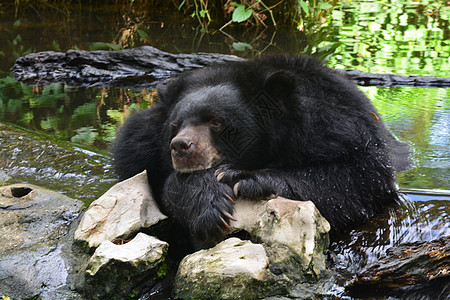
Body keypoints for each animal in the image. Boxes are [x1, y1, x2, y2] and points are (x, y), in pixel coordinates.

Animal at [110, 54, 410, 239]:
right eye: (176, 125)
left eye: (216, 122)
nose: (181, 147)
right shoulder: (139, 149)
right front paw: (211, 206)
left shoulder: (336, 125)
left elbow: (358, 177)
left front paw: (243, 177)